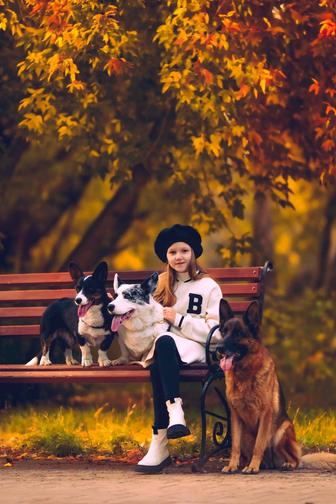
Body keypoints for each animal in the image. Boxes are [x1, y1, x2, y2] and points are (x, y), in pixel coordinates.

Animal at [217, 300, 300, 472]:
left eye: (238, 334)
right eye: (223, 332)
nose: (218, 348)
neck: (245, 374)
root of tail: (273, 464)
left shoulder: (265, 415)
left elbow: (259, 444)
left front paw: (253, 467)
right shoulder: (235, 416)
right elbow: (235, 447)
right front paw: (232, 465)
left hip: (280, 432)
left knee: (295, 458)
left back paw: (287, 464)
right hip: (243, 435)